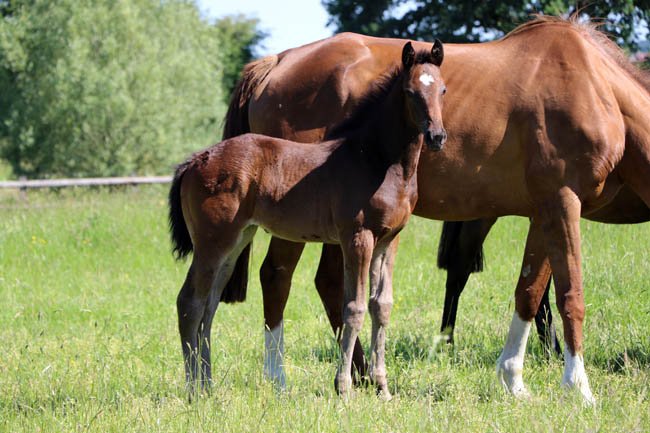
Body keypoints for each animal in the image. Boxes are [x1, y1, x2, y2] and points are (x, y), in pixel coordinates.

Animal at [168, 41, 447, 397]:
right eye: (411, 92)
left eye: (442, 89)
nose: (437, 136)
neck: (376, 160)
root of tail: (193, 161)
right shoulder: (358, 236)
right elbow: (353, 307)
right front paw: (344, 388)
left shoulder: (389, 239)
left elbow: (381, 306)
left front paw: (382, 388)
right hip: (212, 242)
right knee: (190, 302)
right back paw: (195, 391)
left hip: (235, 241)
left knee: (208, 304)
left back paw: (208, 385)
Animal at [220, 16, 650, 404]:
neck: (595, 88)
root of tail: (275, 63)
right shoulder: (563, 202)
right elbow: (570, 295)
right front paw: (579, 388)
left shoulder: (543, 210)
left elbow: (529, 292)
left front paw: (513, 381)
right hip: (296, 222)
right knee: (276, 277)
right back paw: (281, 379)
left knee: (327, 283)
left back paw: (360, 374)